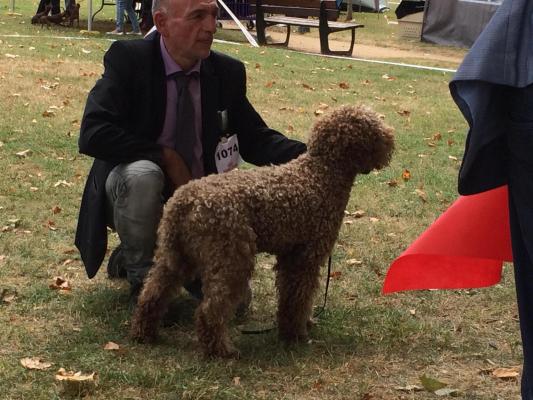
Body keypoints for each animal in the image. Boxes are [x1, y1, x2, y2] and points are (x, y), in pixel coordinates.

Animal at [130, 104, 392, 358]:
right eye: (372, 125)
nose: (390, 138)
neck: (320, 173)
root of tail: (185, 198)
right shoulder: (305, 258)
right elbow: (298, 298)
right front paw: (296, 335)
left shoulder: (290, 257)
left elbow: (290, 298)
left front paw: (296, 327)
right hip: (232, 259)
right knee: (210, 309)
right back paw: (220, 350)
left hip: (176, 258)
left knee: (152, 293)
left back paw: (145, 333)